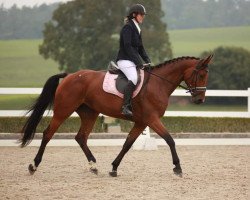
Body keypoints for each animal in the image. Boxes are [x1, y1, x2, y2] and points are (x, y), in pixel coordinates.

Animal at [19, 54, 213, 177]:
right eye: (201, 74)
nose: (200, 100)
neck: (158, 84)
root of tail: (70, 76)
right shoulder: (151, 119)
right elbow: (169, 139)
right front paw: (178, 168)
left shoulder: (141, 122)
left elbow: (128, 144)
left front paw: (113, 168)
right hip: (63, 110)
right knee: (48, 134)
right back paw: (33, 166)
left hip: (89, 113)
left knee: (81, 137)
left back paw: (94, 166)